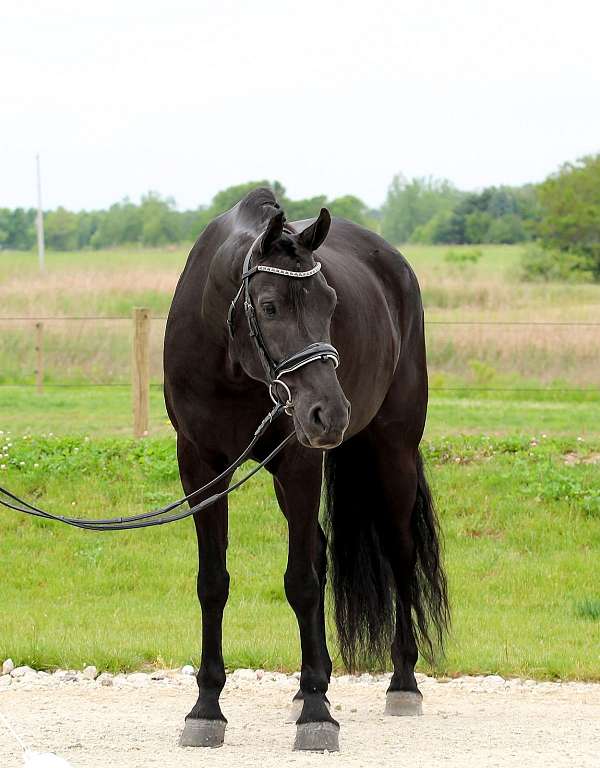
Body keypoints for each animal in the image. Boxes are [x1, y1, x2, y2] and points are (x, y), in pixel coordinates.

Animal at [163, 187, 449, 752]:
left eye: (330, 304)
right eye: (269, 306)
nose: (330, 413)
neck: (230, 361)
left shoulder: (299, 461)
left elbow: (300, 581)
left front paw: (318, 715)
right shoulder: (201, 467)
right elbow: (213, 582)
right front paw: (207, 709)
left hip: (393, 452)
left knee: (399, 553)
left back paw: (402, 683)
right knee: (319, 548)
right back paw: (309, 682)